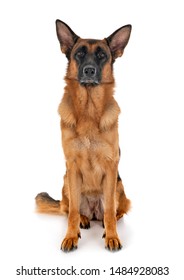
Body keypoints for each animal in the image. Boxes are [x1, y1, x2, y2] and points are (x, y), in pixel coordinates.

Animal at [35, 19, 132, 252]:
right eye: (79, 54)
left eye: (102, 55)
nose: (89, 70)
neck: (88, 111)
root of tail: (94, 211)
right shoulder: (72, 167)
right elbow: (71, 213)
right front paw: (70, 236)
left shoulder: (111, 167)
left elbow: (110, 212)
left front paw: (112, 236)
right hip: (66, 182)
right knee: (71, 209)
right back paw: (84, 220)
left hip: (119, 186)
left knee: (115, 211)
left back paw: (106, 223)